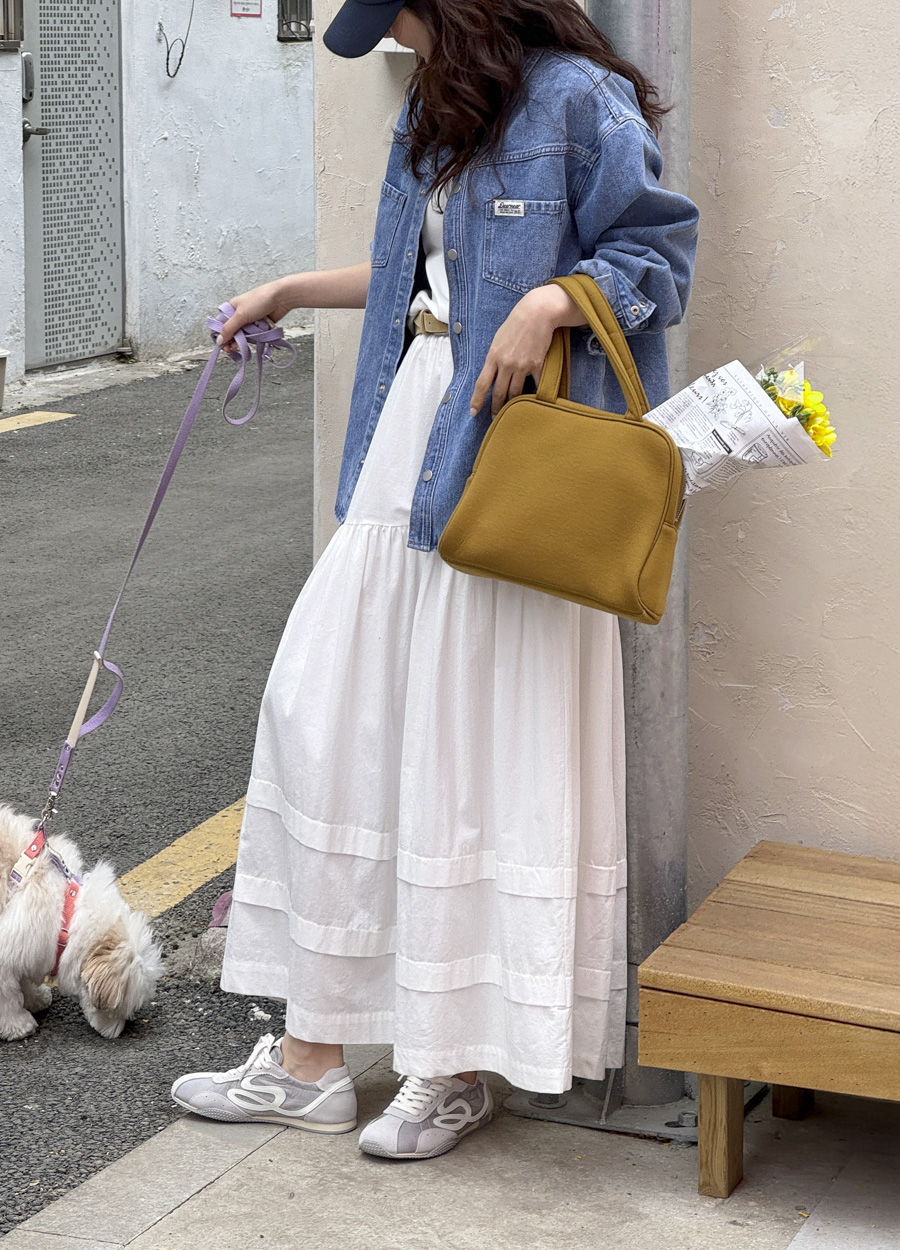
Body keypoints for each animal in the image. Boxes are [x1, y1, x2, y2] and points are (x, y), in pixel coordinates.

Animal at [0, 803, 163, 1040]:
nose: (118, 1032)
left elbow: (23, 980)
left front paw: (36, 999)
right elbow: (7, 997)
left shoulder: (23, 947)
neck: (64, 915)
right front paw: (18, 1025)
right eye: (115, 1008)